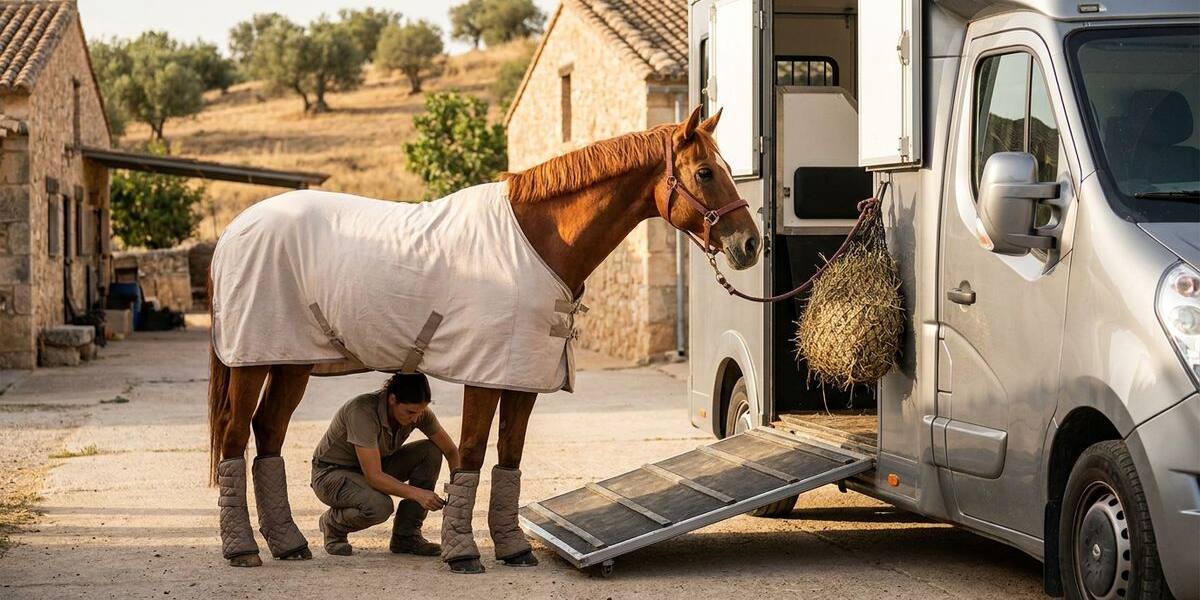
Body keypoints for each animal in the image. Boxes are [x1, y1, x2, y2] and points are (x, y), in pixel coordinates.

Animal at [206, 106, 761, 572]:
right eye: (705, 172)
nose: (751, 244)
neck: (537, 242)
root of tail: (234, 231)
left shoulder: (522, 378)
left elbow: (509, 458)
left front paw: (512, 548)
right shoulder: (485, 374)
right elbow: (472, 453)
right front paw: (463, 554)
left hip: (290, 361)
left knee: (269, 435)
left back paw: (289, 544)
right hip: (252, 362)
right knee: (235, 437)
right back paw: (242, 549)